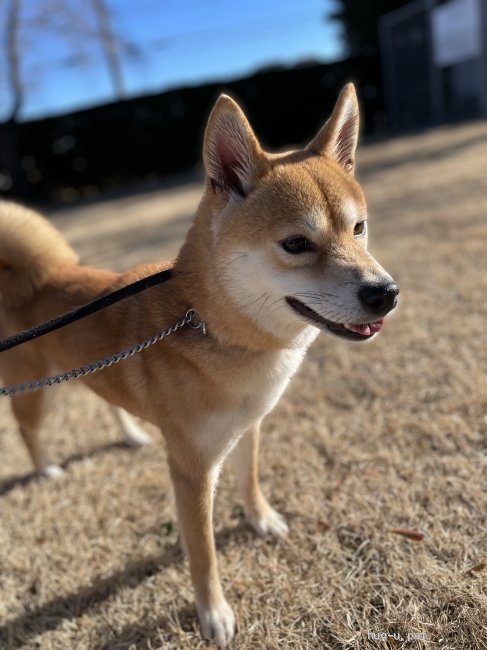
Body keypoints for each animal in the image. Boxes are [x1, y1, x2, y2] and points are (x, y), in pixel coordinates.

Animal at [0, 85, 396, 644]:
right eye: (296, 244)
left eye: (359, 229)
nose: (386, 294)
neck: (208, 324)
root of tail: (35, 277)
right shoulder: (190, 471)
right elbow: (203, 555)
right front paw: (214, 614)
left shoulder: (250, 426)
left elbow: (250, 480)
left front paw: (261, 519)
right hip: (37, 391)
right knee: (28, 431)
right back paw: (47, 469)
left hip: (87, 374)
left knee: (106, 402)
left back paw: (130, 435)